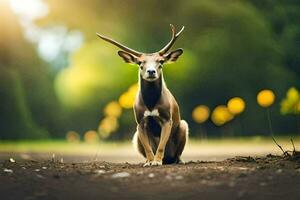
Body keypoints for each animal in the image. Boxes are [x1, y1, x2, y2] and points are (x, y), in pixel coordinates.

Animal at [97, 24, 189, 166]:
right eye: (140, 63)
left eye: (161, 62)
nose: (151, 71)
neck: (151, 104)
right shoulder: (139, 121)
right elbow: (147, 147)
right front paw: (150, 162)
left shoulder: (167, 118)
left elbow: (161, 145)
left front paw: (157, 162)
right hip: (135, 136)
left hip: (184, 125)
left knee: (177, 152)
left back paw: (178, 161)